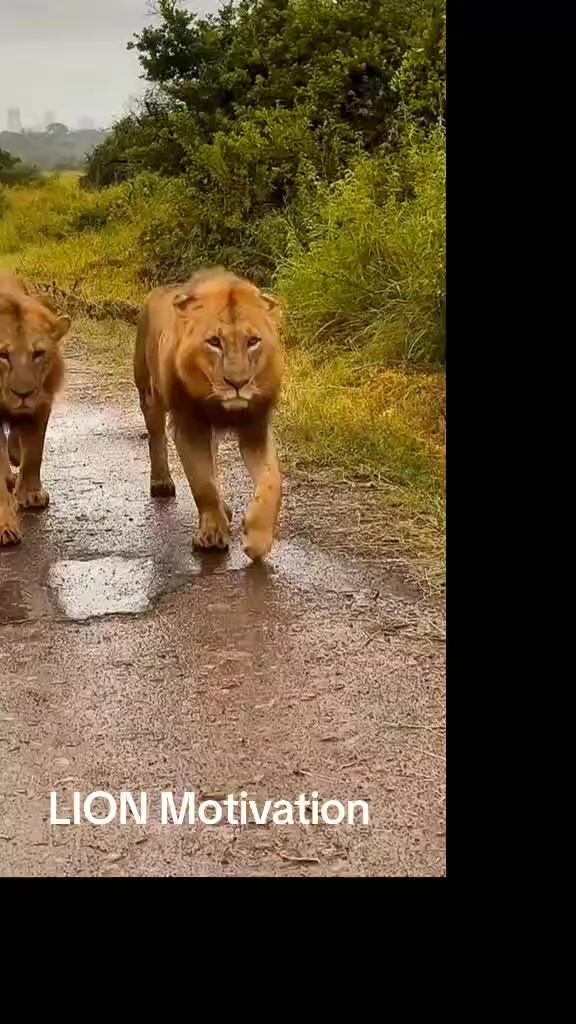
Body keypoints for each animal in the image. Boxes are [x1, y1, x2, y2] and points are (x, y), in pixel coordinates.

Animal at [0, 274, 71, 546]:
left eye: (38, 353)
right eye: (2, 355)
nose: (24, 394)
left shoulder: (41, 403)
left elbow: (34, 454)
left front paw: (30, 495)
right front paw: (6, 528)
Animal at [134, 267, 284, 560]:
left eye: (253, 341)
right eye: (214, 342)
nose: (237, 383)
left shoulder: (256, 428)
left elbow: (272, 480)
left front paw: (258, 539)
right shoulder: (190, 425)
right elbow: (202, 482)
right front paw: (212, 535)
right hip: (148, 393)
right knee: (156, 437)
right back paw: (161, 482)